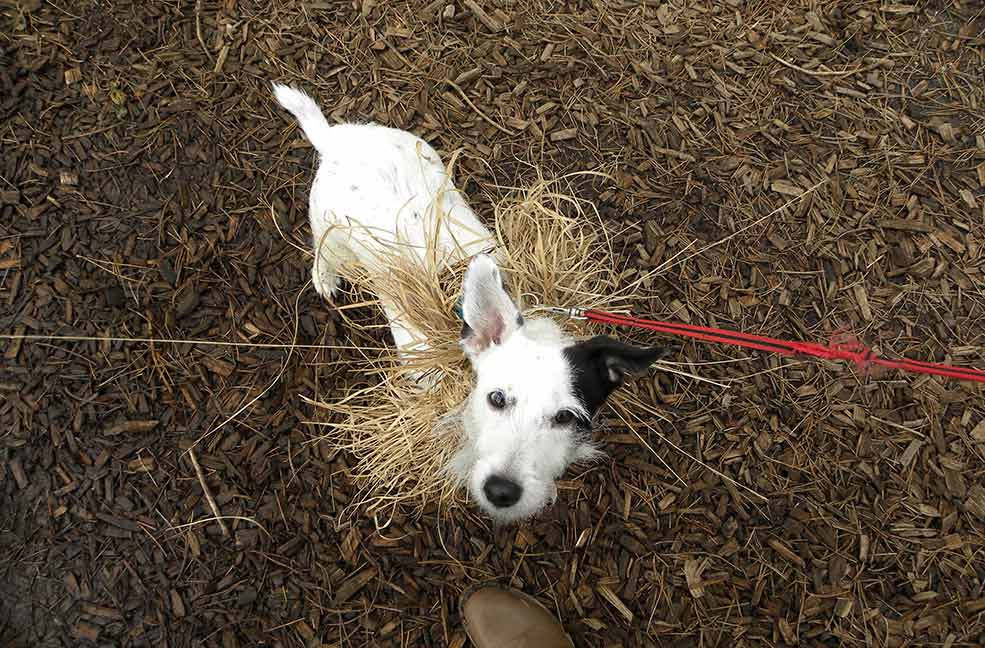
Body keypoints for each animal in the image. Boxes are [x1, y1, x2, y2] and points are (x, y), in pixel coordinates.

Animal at [274, 85, 660, 520]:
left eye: (565, 417)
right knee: (323, 252)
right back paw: (325, 278)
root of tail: (335, 139)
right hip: (329, 228)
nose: (502, 491)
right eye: (496, 398)